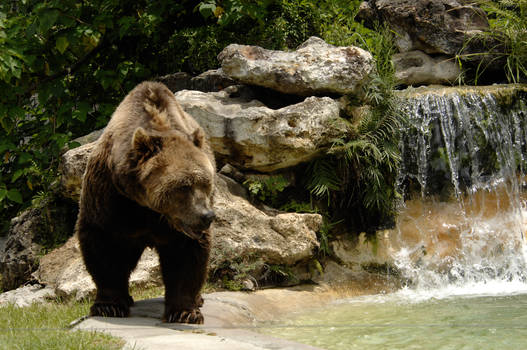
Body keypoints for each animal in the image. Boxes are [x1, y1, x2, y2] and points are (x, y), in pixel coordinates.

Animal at [75, 80, 216, 324]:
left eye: (206, 182)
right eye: (184, 185)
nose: (206, 216)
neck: (147, 205)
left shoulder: (178, 227)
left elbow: (186, 256)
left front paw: (185, 311)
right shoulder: (110, 197)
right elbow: (103, 244)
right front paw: (109, 306)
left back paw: (198, 299)